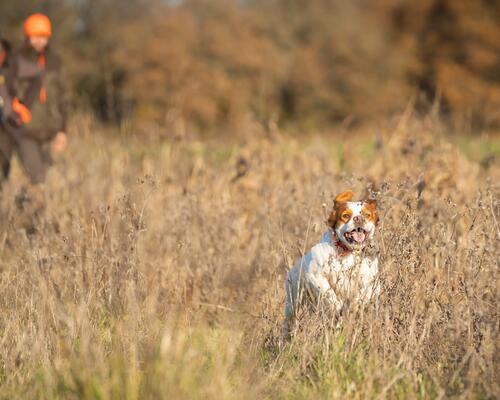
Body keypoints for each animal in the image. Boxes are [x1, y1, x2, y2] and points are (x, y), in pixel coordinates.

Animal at [284, 189, 380, 336]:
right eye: (345, 216)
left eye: (367, 215)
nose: (359, 219)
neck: (349, 253)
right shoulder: (315, 276)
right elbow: (329, 294)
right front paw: (338, 307)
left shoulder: (372, 282)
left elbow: (363, 295)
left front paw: (352, 307)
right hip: (293, 305)